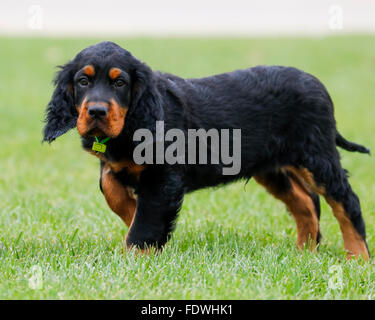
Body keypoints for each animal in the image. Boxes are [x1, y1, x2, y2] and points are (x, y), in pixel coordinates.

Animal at [43, 40, 370, 260]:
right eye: (82, 81)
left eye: (120, 82)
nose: (97, 112)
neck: (131, 125)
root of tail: (316, 83)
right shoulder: (113, 165)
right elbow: (112, 190)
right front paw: (137, 218)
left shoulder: (164, 177)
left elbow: (144, 223)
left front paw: (136, 259)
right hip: (271, 166)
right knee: (306, 201)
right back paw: (305, 252)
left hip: (317, 156)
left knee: (346, 202)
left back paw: (358, 258)